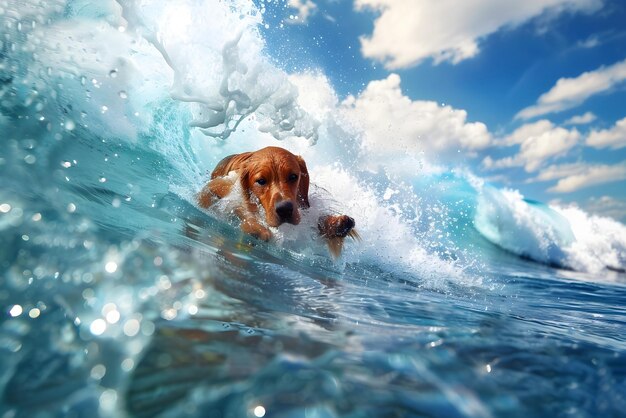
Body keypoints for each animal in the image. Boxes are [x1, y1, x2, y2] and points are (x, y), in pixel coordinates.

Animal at [197, 147, 358, 258]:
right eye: (261, 181)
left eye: (293, 176)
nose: (285, 209)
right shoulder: (216, 190)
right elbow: (240, 208)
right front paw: (257, 228)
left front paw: (336, 224)